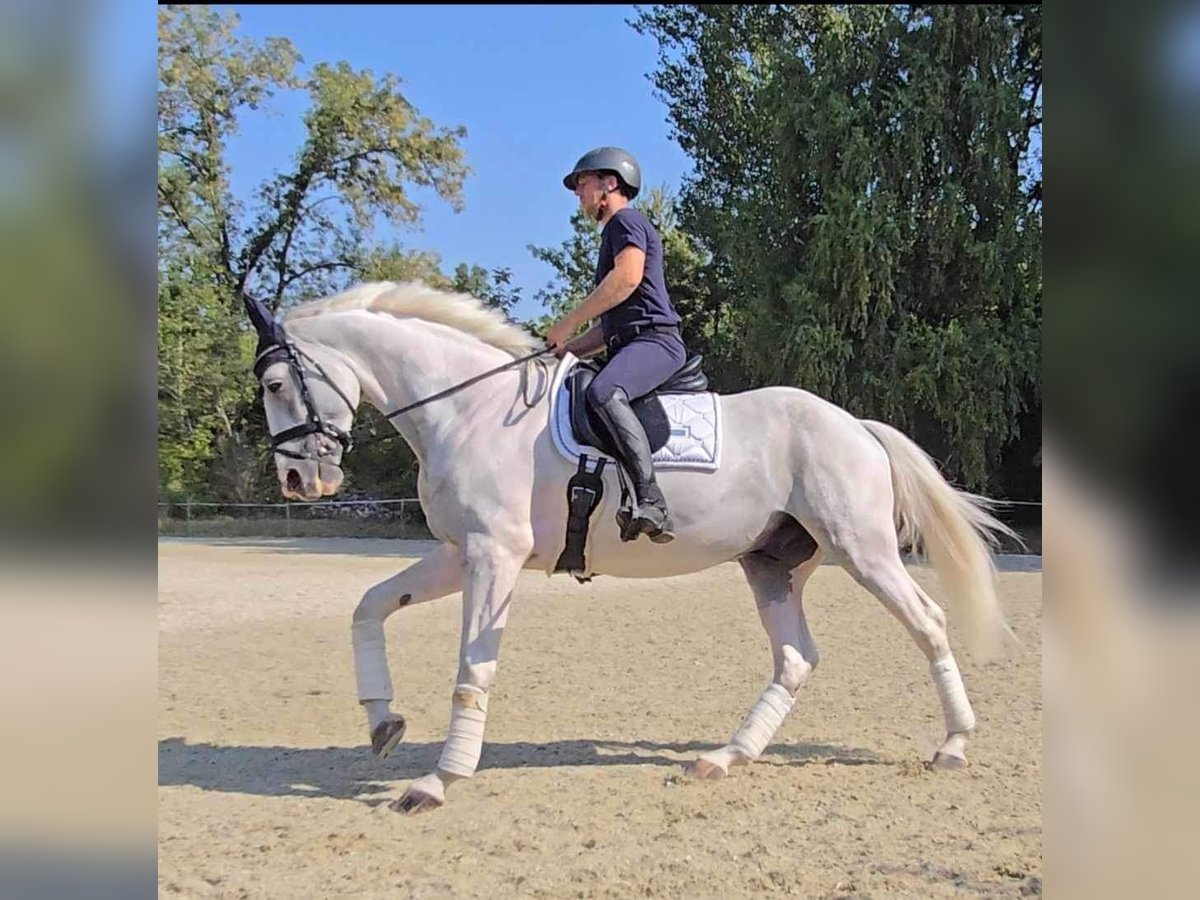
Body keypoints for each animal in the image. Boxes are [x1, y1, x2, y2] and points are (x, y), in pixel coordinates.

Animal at [248, 282, 1017, 816]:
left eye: (276, 383)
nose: (297, 482)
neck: (468, 410)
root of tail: (854, 424)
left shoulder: (493, 556)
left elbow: (472, 669)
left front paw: (437, 782)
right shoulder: (457, 552)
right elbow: (368, 606)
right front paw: (383, 723)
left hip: (862, 551)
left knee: (927, 624)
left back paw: (953, 745)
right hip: (772, 564)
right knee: (797, 658)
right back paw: (724, 759)